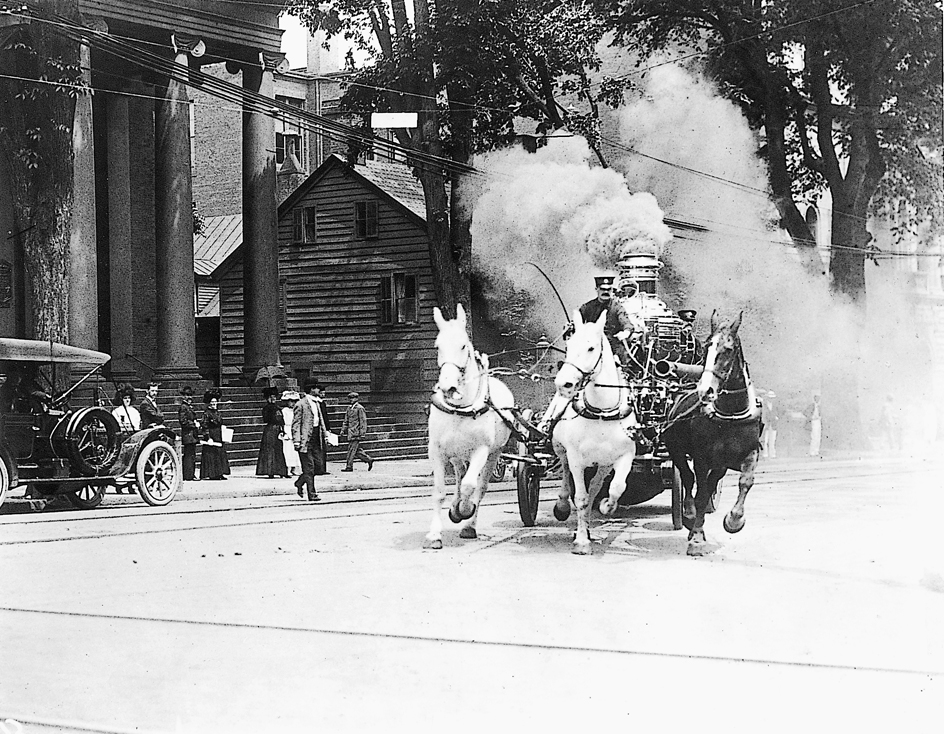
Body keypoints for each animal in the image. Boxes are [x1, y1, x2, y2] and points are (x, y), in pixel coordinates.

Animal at [428, 304, 516, 552]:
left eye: (463, 345)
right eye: (437, 345)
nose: (448, 387)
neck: (461, 408)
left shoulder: (482, 451)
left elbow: (470, 486)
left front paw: (465, 511)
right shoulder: (437, 450)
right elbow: (440, 491)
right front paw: (435, 533)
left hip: (495, 454)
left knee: (480, 486)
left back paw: (468, 522)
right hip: (457, 454)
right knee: (458, 475)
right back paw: (455, 507)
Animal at [548, 308, 636, 556]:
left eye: (591, 348)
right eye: (569, 345)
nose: (564, 384)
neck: (602, 411)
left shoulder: (626, 455)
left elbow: (617, 487)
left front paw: (608, 506)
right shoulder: (576, 457)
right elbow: (581, 498)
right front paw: (581, 542)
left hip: (603, 463)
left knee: (596, 486)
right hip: (561, 449)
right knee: (565, 473)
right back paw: (563, 506)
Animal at [660, 312, 764, 556]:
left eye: (728, 349)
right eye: (706, 347)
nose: (705, 390)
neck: (731, 414)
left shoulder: (750, 452)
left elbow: (746, 481)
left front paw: (734, 520)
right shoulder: (702, 458)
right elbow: (699, 493)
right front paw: (697, 537)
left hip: (720, 464)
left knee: (709, 484)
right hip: (676, 450)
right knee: (688, 478)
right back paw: (689, 516)